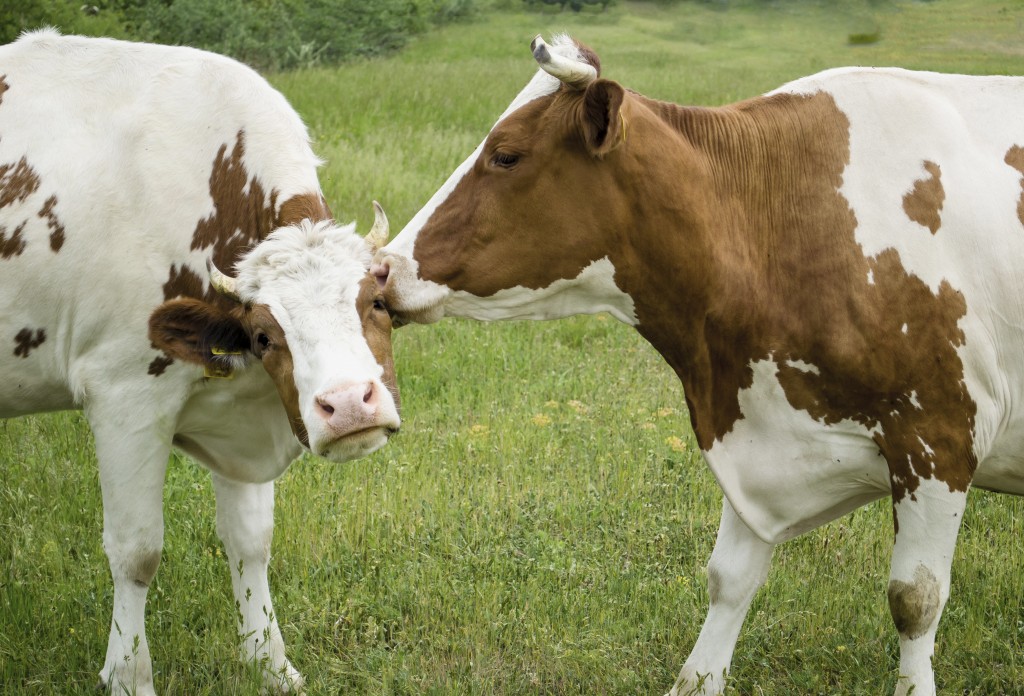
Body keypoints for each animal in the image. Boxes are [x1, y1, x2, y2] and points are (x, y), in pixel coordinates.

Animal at [0, 28, 399, 696]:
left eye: (376, 302)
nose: (348, 406)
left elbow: (251, 542)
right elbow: (136, 552)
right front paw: (128, 675)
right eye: (264, 335)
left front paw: (270, 663)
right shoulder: (124, 397)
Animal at [372, 34, 1024, 696]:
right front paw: (698, 678)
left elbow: (915, 598)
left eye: (506, 156)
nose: (382, 269)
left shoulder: (939, 435)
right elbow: (728, 577)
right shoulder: (753, 424)